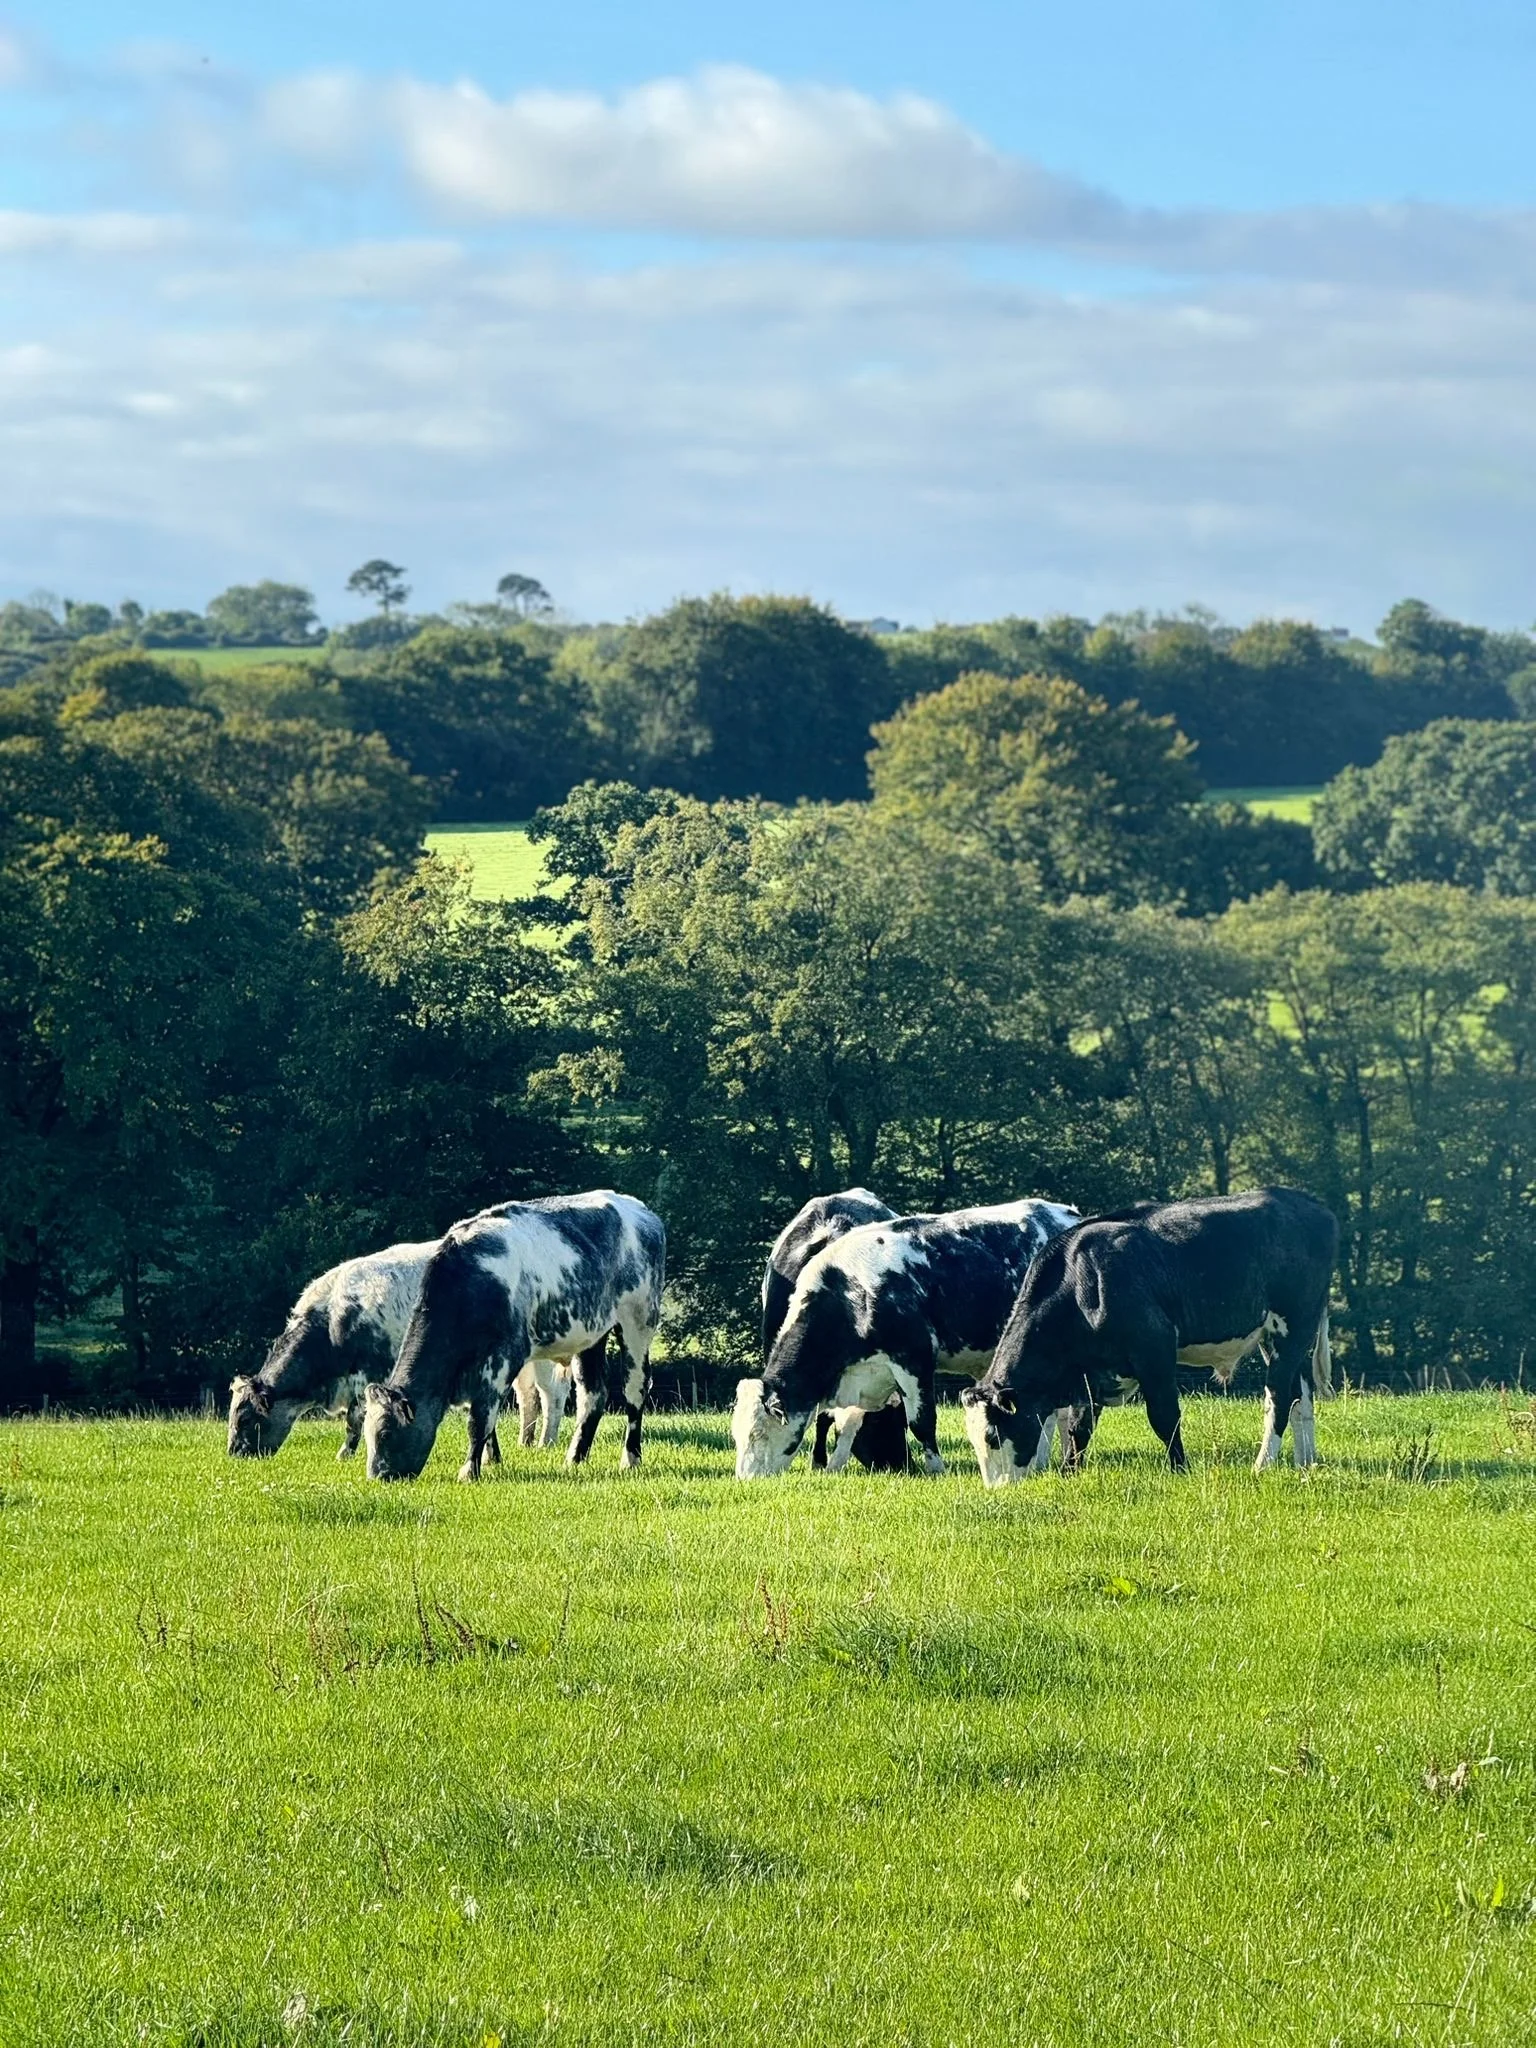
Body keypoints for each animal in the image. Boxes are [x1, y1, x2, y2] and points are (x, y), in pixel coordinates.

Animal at [227, 1240, 576, 1462]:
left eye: (244, 1418)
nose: (233, 1454)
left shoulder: (367, 1373)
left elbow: (354, 1419)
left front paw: (345, 1454)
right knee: (528, 1397)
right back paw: (526, 1441)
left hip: (547, 1358)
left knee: (552, 1395)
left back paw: (546, 1442)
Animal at [363, 1191, 665, 1482]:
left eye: (386, 1433)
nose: (377, 1477)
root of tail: (641, 1211)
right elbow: (484, 1419)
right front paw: (488, 1460)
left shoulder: (503, 1358)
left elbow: (480, 1418)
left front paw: (469, 1472)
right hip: (591, 1334)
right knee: (592, 1394)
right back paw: (574, 1458)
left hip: (637, 1322)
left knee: (635, 1388)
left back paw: (630, 1458)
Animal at [733, 1198, 1082, 1479]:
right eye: (736, 1436)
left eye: (758, 1435)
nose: (746, 1479)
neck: (853, 1292)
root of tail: (1065, 1213)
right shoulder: (864, 1373)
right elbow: (845, 1422)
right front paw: (832, 1467)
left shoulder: (914, 1358)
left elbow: (922, 1421)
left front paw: (936, 1469)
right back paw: (1040, 1462)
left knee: (1060, 1411)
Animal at [961, 1187, 1338, 1486]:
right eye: (974, 1442)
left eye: (993, 1436)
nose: (997, 1490)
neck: (1083, 1281)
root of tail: (1309, 1204)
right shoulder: (1091, 1372)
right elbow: (1079, 1428)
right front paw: (1069, 1473)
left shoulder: (1154, 1350)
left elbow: (1164, 1416)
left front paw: (1180, 1469)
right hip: (1277, 1337)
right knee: (1299, 1395)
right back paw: (1304, 1463)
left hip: (1294, 1327)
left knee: (1278, 1397)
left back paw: (1262, 1465)